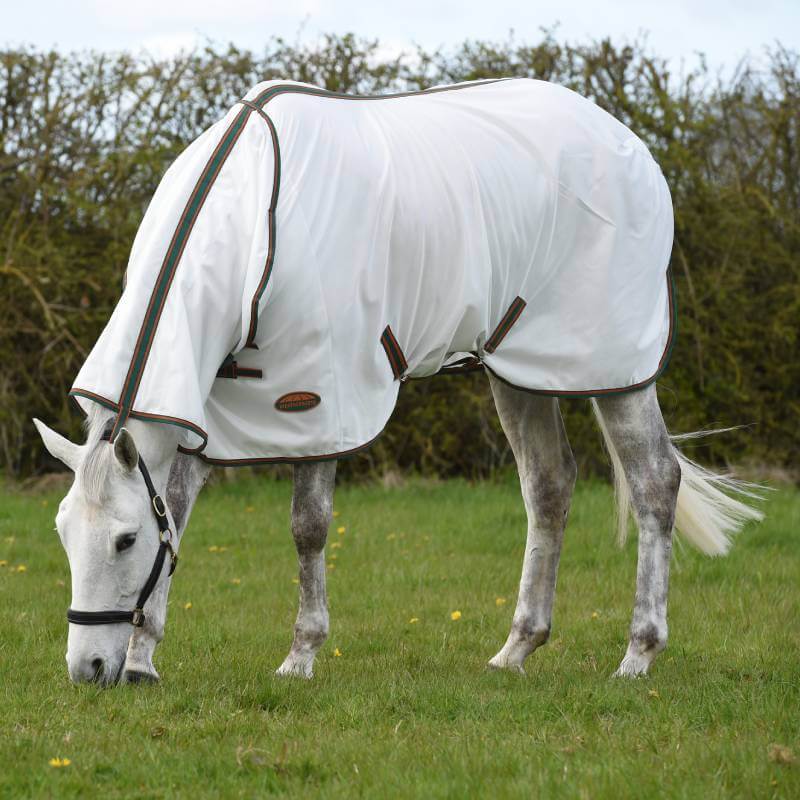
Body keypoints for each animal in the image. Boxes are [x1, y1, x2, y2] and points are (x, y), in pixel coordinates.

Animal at [33, 78, 762, 685]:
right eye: (63, 531)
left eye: (125, 539)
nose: (87, 669)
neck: (254, 219)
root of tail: (628, 142)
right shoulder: (201, 410)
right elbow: (179, 514)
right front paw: (144, 659)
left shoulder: (320, 401)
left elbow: (307, 528)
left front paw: (300, 656)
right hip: (521, 368)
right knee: (549, 486)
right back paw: (516, 649)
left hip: (614, 369)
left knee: (653, 483)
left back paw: (637, 655)